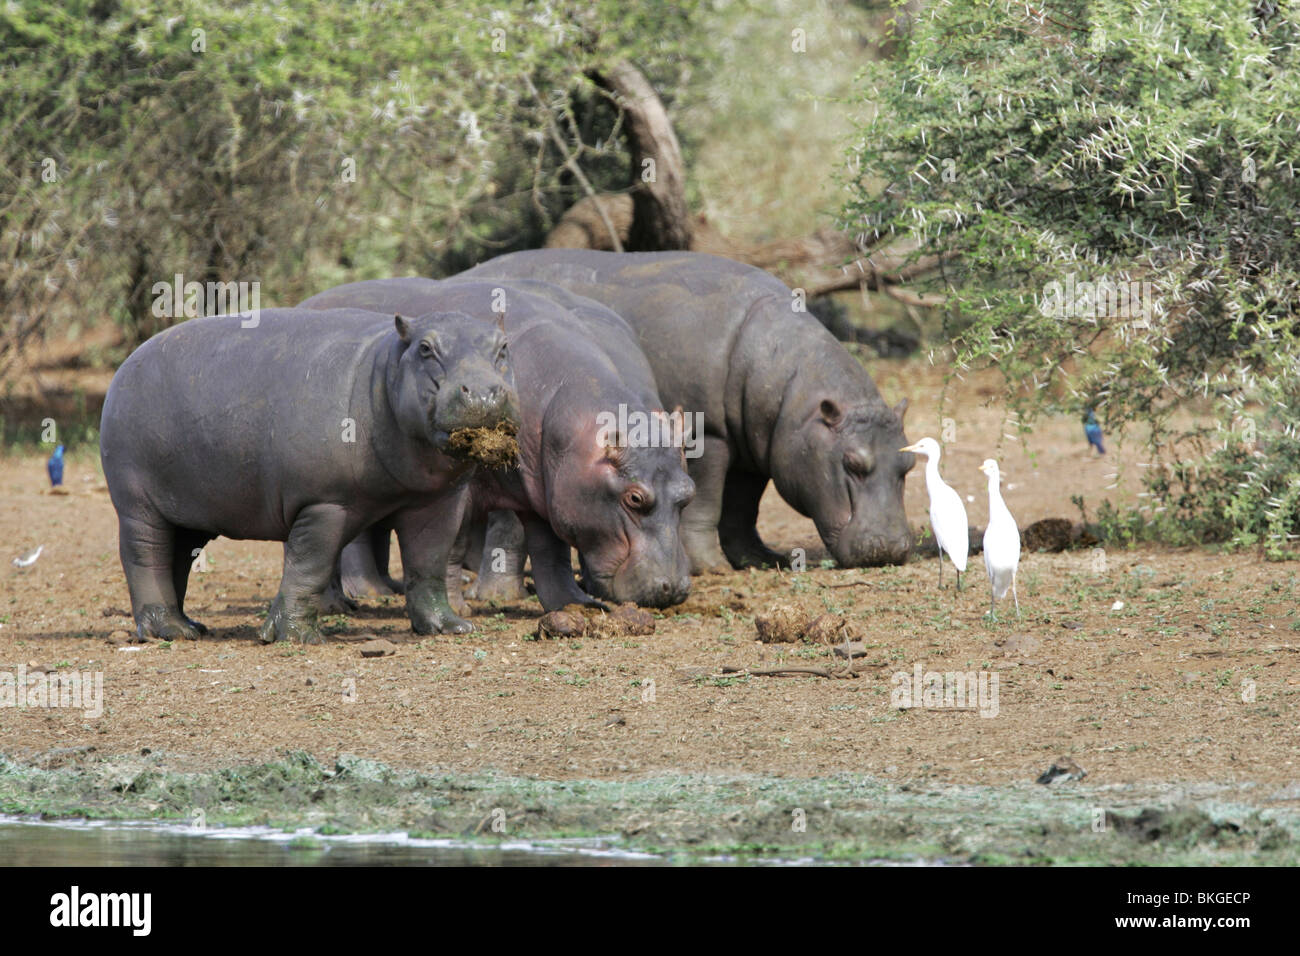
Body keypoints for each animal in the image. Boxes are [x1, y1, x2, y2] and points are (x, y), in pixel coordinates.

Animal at [99, 307, 517, 643]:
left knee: (178, 557)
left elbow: (428, 564)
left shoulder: (438, 502)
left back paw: (192, 626)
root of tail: (125, 365)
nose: (483, 393)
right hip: (138, 505)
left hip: (189, 511)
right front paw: (299, 637)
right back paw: (168, 631)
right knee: (144, 557)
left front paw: (451, 627)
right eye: (426, 349)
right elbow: (309, 567)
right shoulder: (323, 504)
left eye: (502, 347)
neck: (382, 372)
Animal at [298, 278, 695, 610]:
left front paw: (572, 605)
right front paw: (459, 608)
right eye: (635, 498)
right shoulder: (466, 489)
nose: (674, 588)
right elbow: (453, 545)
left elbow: (550, 551)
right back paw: (354, 598)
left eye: (688, 494)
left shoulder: (545, 489)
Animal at [458, 250, 916, 571]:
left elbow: (743, 507)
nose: (892, 548)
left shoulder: (754, 444)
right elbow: (709, 501)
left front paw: (762, 560)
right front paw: (713, 568)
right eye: (852, 463)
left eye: (909, 464)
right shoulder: (707, 433)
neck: (794, 393)